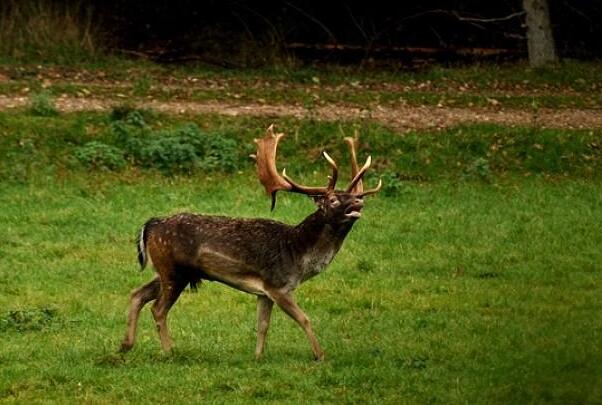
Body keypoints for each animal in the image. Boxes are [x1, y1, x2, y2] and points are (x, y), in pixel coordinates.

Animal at [118, 124, 380, 358]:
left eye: (355, 195)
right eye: (334, 200)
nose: (358, 203)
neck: (298, 255)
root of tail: (151, 225)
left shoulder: (264, 292)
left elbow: (262, 325)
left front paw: (258, 357)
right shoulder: (278, 285)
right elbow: (304, 318)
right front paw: (320, 355)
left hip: (166, 270)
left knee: (137, 293)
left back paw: (125, 345)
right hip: (174, 270)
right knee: (158, 309)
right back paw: (169, 351)